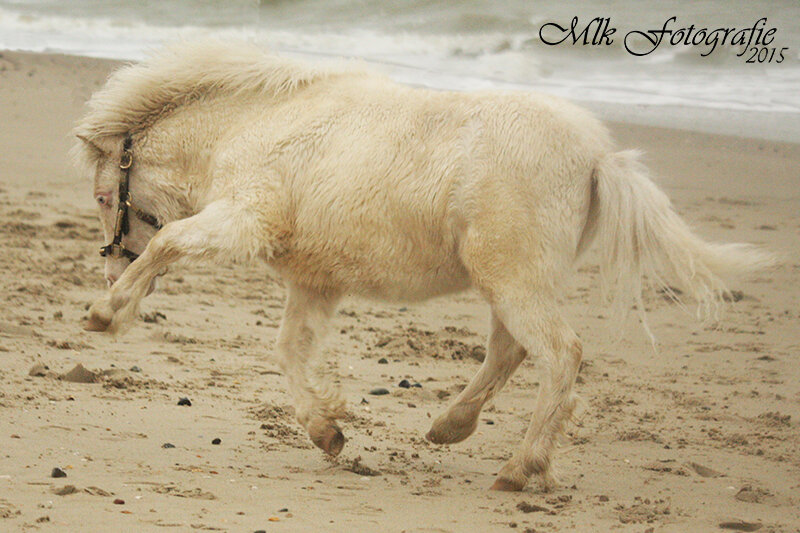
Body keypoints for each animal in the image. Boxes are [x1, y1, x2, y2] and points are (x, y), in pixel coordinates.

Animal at [73, 40, 772, 492]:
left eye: (106, 197)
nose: (108, 274)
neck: (252, 125)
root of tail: (599, 156)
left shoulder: (244, 218)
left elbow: (169, 244)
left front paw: (106, 315)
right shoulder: (314, 281)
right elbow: (289, 352)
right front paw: (327, 433)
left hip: (513, 278)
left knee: (559, 352)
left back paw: (520, 469)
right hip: (511, 280)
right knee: (511, 351)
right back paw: (449, 429)